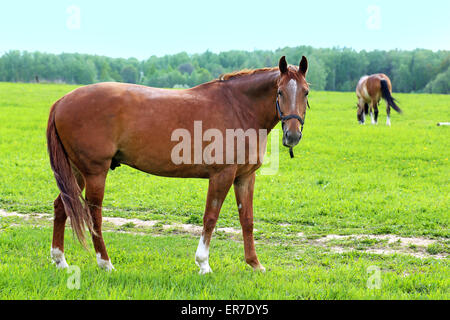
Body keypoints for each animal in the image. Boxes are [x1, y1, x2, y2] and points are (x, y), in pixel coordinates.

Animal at [48, 56, 310, 274]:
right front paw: (203, 264)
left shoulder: (244, 177)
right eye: (279, 92)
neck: (239, 108)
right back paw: (105, 263)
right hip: (95, 172)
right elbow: (210, 217)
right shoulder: (222, 175)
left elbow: (247, 220)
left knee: (61, 206)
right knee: (94, 214)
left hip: (76, 171)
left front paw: (254, 264)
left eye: (306, 92)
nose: (293, 135)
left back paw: (60, 260)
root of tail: (61, 102)